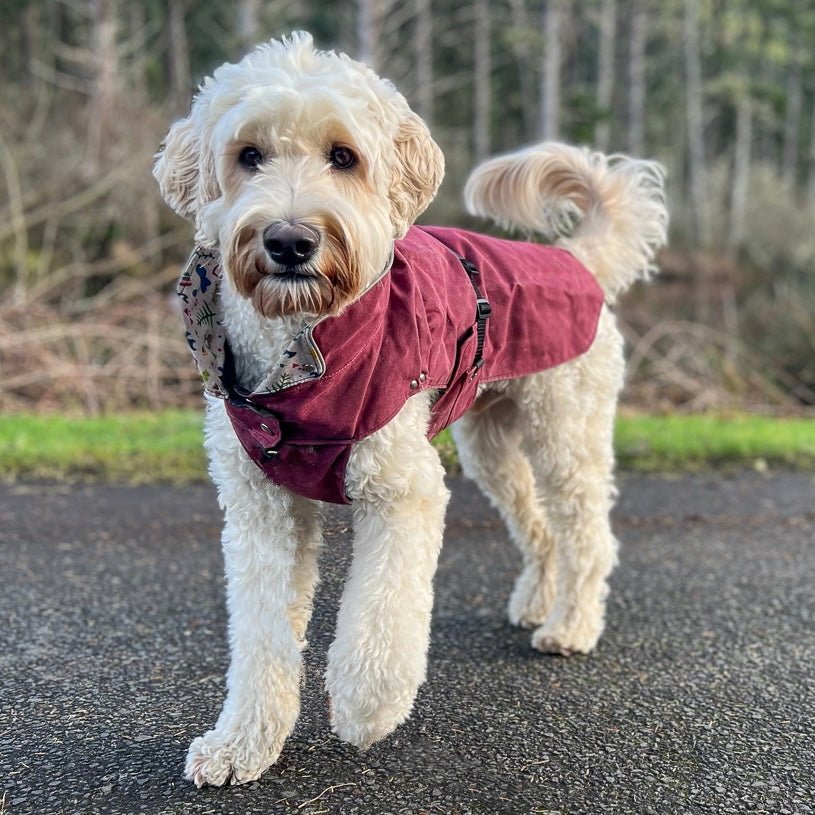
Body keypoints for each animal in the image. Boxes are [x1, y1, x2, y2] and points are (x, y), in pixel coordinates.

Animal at [153, 28, 668, 788]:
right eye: (248, 155)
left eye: (344, 156)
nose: (289, 241)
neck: (302, 349)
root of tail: (575, 260)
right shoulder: (260, 508)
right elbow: (261, 636)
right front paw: (241, 743)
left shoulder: (401, 488)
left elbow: (381, 613)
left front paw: (365, 706)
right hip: (491, 445)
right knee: (541, 527)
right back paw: (536, 601)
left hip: (564, 433)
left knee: (586, 535)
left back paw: (571, 624)